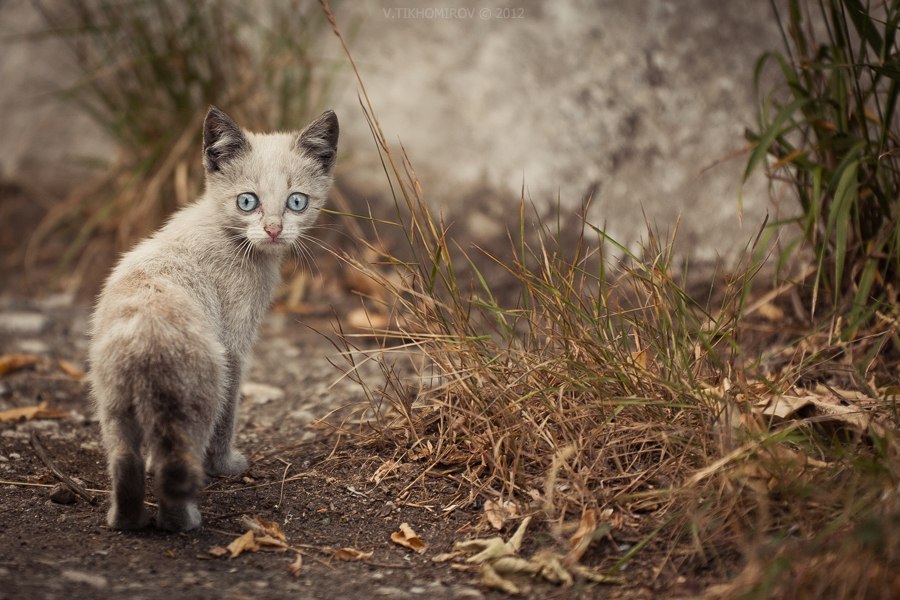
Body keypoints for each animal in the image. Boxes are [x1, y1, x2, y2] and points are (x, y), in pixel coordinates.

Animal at [89, 106, 340, 528]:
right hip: (197, 394)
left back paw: (125, 520)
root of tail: (145, 339)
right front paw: (225, 464)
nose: (274, 230)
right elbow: (230, 413)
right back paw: (184, 520)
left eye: (297, 202)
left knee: (125, 462)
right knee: (177, 460)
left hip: (113, 401)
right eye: (247, 201)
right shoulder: (235, 347)